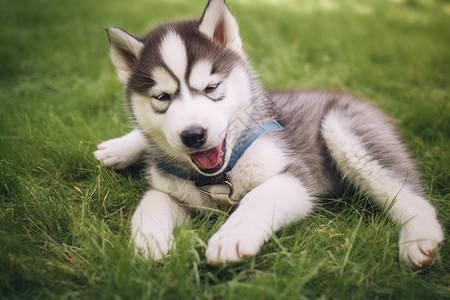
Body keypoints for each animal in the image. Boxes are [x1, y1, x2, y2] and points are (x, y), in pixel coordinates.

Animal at [94, 0, 442, 268]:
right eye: (163, 97)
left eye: (211, 88)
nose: (193, 135)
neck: (221, 174)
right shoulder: (174, 191)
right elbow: (150, 202)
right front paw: (148, 243)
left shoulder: (296, 176)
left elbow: (259, 197)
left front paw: (232, 236)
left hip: (344, 130)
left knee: (407, 193)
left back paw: (420, 239)